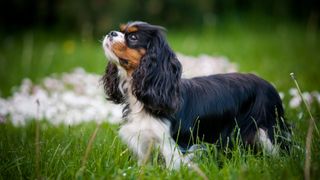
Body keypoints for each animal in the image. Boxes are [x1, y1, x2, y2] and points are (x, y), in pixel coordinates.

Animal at [102, 21, 290, 169]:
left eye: (133, 37)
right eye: (121, 30)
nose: (111, 33)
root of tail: (269, 85)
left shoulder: (173, 144)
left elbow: (173, 166)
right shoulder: (143, 140)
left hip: (268, 131)